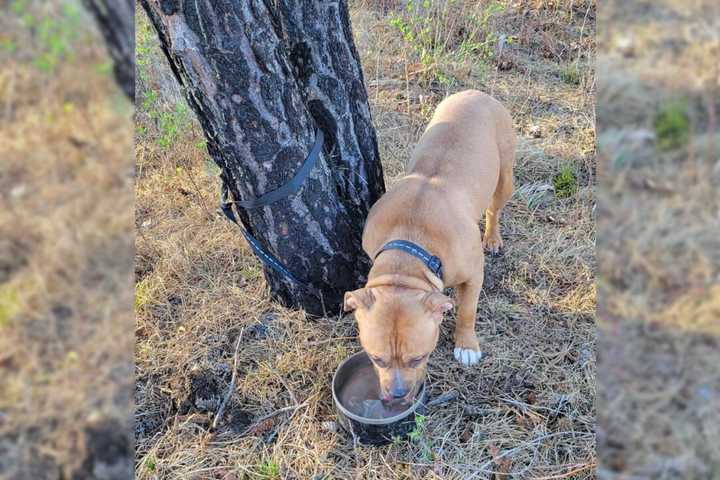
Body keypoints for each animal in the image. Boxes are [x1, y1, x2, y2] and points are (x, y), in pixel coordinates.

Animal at [346, 91, 516, 404]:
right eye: (376, 359)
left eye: (418, 358)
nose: (398, 394)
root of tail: (477, 93)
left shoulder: (474, 275)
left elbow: (467, 310)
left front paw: (467, 345)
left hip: (505, 176)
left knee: (494, 209)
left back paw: (492, 238)